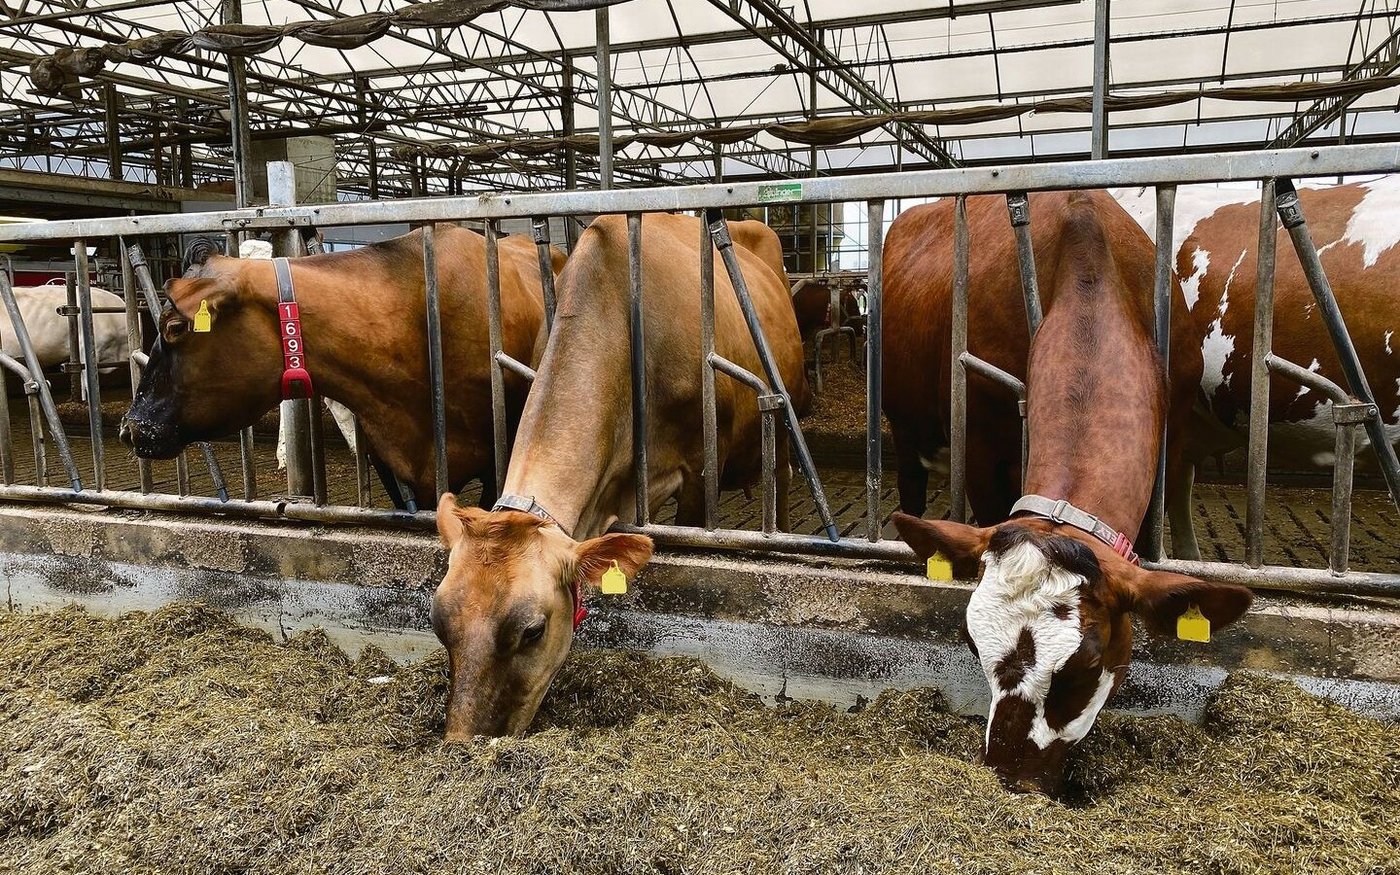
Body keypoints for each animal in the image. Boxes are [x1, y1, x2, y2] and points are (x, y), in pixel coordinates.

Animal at [430, 213, 806, 739]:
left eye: (532, 631)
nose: (463, 743)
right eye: (438, 624)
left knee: (784, 477)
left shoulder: (698, 472)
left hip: (786, 414)